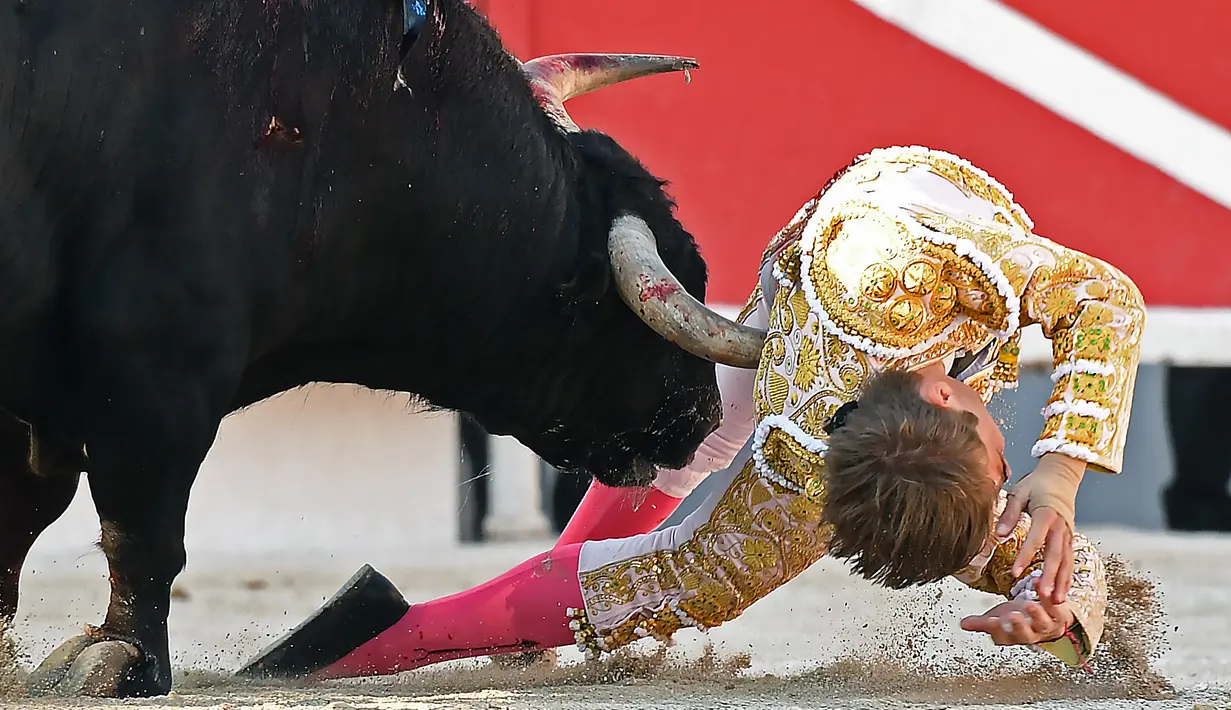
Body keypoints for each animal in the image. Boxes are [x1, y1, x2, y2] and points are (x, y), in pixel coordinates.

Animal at [2, 0, 768, 698]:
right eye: (616, 319)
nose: (704, 415)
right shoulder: (161, 363)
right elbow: (139, 523)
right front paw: (123, 662)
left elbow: (31, 504)